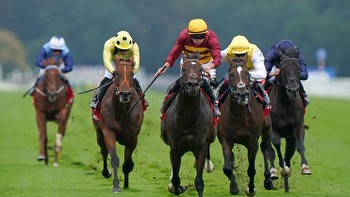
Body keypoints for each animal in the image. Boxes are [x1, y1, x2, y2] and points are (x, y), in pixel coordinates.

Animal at [92, 57, 144, 192]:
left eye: (131, 74)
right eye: (116, 74)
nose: (124, 94)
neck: (123, 110)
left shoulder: (133, 136)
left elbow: (127, 162)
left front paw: (126, 183)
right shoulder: (108, 132)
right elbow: (114, 159)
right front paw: (116, 186)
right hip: (99, 134)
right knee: (104, 151)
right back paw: (106, 172)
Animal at [160, 57, 215, 196]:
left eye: (200, 69)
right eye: (184, 69)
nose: (192, 85)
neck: (188, 116)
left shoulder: (201, 147)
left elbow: (199, 182)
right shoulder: (175, 148)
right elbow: (176, 179)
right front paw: (178, 187)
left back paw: (209, 166)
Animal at [217, 57, 274, 195]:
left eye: (247, 74)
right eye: (231, 75)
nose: (241, 93)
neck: (240, 114)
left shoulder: (252, 142)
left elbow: (251, 169)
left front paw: (251, 189)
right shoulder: (226, 139)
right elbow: (227, 167)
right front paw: (234, 187)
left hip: (267, 129)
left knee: (265, 147)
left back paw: (268, 180)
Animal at [268, 48, 312, 192]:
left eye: (298, 68)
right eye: (283, 69)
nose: (292, 89)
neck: (285, 103)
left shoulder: (297, 126)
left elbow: (300, 145)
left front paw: (305, 167)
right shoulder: (273, 128)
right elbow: (276, 146)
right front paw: (281, 169)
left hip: (289, 138)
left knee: (289, 154)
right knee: (269, 151)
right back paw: (273, 172)